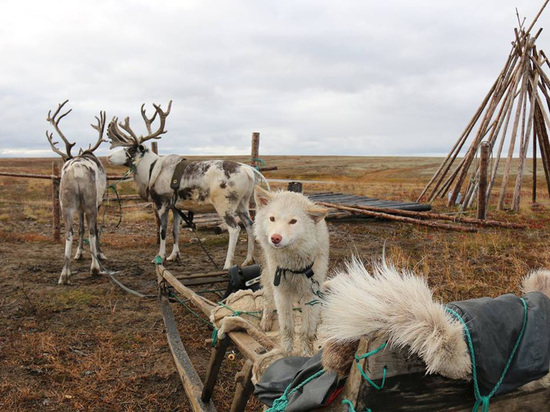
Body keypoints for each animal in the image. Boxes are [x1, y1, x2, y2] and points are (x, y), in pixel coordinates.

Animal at [256, 187, 330, 354]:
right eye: (272, 219)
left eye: (293, 221)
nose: (275, 238)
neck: (293, 266)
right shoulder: (281, 293)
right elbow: (286, 327)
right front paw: (286, 352)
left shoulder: (310, 293)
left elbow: (306, 331)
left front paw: (307, 352)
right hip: (269, 281)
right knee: (267, 300)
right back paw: (266, 320)